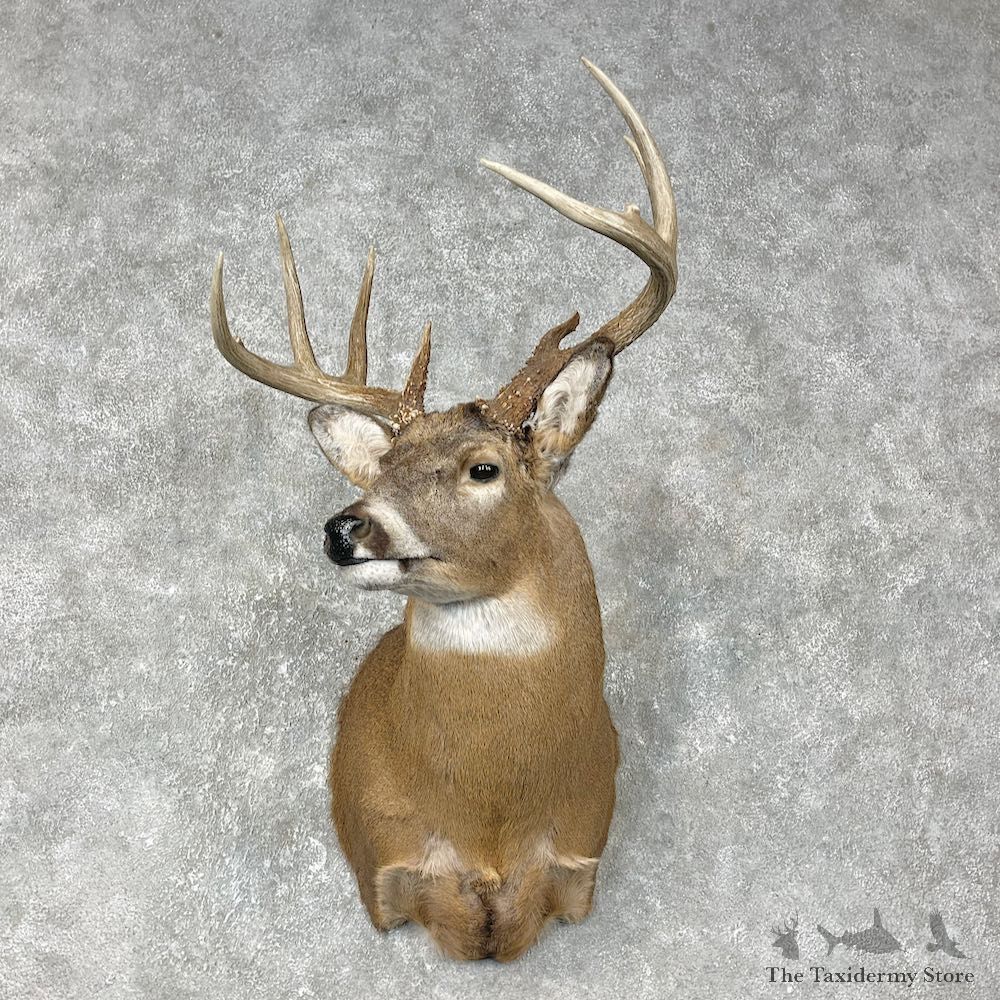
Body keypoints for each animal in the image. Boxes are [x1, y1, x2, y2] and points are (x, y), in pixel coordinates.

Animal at [209, 58, 677, 961]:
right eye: (383, 466)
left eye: (484, 468)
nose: (345, 528)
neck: (488, 820)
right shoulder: (387, 869)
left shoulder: (579, 856)